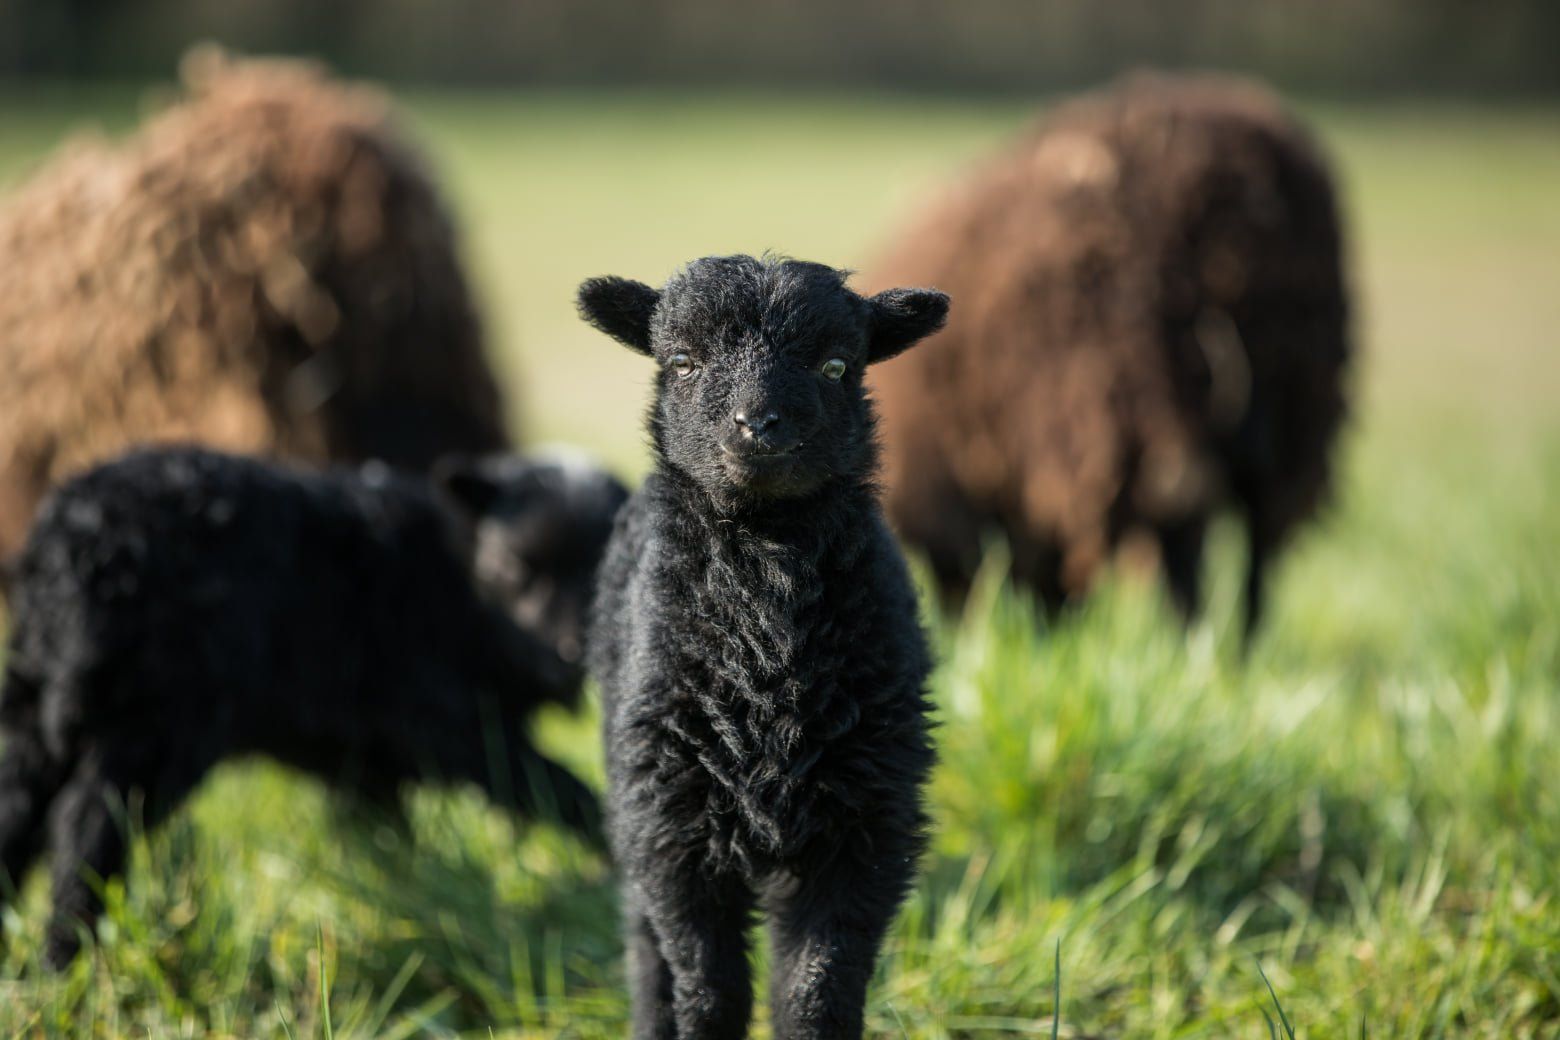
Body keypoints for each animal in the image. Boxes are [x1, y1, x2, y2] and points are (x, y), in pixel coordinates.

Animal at [0, 445, 626, 968]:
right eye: (517, 567)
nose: (571, 655)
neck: (454, 576)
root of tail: (71, 549)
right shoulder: (447, 722)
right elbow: (554, 786)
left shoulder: (368, 762)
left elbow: (385, 835)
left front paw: (408, 888)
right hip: (158, 724)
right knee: (83, 825)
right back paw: (68, 959)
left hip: (35, 710)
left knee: (19, 812)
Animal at [579, 255, 948, 1039]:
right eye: (683, 363)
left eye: (837, 366)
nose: (761, 427)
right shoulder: (672, 831)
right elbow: (708, 986)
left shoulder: (864, 828)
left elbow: (817, 987)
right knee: (646, 950)